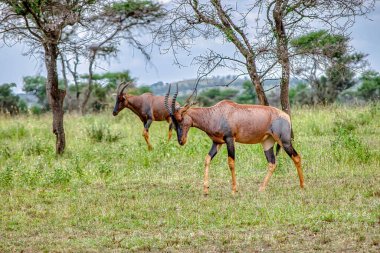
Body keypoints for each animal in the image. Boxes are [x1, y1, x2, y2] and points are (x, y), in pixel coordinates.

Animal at [165, 84, 304, 195]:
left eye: (180, 119)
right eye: (174, 122)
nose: (181, 141)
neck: (217, 112)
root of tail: (286, 116)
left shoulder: (230, 139)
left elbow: (231, 162)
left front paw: (234, 190)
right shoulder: (217, 142)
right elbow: (207, 159)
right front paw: (205, 190)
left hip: (284, 141)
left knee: (296, 157)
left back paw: (302, 186)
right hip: (267, 143)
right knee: (272, 163)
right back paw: (261, 189)